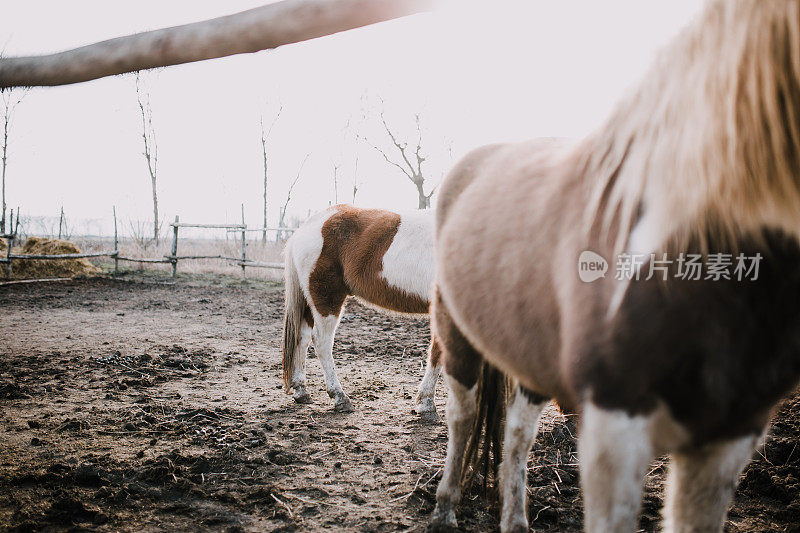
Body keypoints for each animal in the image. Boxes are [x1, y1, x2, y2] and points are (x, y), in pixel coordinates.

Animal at [282, 205, 444, 416]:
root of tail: (308, 226)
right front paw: (426, 404)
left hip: (310, 301)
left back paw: (301, 390)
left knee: (303, 338)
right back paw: (340, 398)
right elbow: (437, 353)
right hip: (326, 299)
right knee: (322, 342)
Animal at [432, 2, 800, 528]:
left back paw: (515, 520)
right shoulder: (615, 421)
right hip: (457, 335)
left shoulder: (728, 436)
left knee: (518, 436)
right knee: (461, 418)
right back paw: (444, 508)